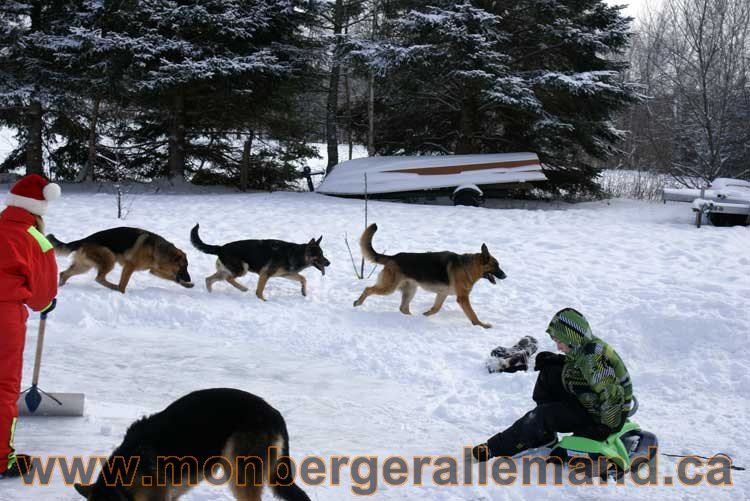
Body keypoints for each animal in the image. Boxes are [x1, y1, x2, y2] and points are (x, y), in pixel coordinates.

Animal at [47, 227, 194, 292]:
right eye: (183, 266)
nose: (189, 279)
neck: (157, 249)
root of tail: (85, 240)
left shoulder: (154, 270)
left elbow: (172, 278)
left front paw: (186, 285)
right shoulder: (129, 266)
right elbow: (123, 284)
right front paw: (121, 292)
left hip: (84, 267)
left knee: (64, 274)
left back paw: (60, 287)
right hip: (109, 259)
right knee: (99, 278)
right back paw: (113, 287)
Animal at [189, 224, 330, 300]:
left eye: (323, 254)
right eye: (319, 255)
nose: (329, 263)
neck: (296, 253)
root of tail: (221, 247)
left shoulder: (286, 274)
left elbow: (303, 278)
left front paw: (303, 292)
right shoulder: (265, 274)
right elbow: (259, 291)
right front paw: (262, 301)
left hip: (227, 270)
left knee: (209, 279)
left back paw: (210, 293)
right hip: (242, 269)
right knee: (228, 278)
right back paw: (242, 288)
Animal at [356, 224, 508, 328]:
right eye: (496, 265)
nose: (505, 276)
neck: (467, 267)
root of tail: (393, 257)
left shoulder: (442, 294)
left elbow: (436, 308)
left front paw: (425, 315)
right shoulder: (463, 298)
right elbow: (473, 314)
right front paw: (481, 325)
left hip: (410, 290)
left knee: (403, 308)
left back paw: (412, 318)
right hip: (389, 288)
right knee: (368, 289)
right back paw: (358, 302)